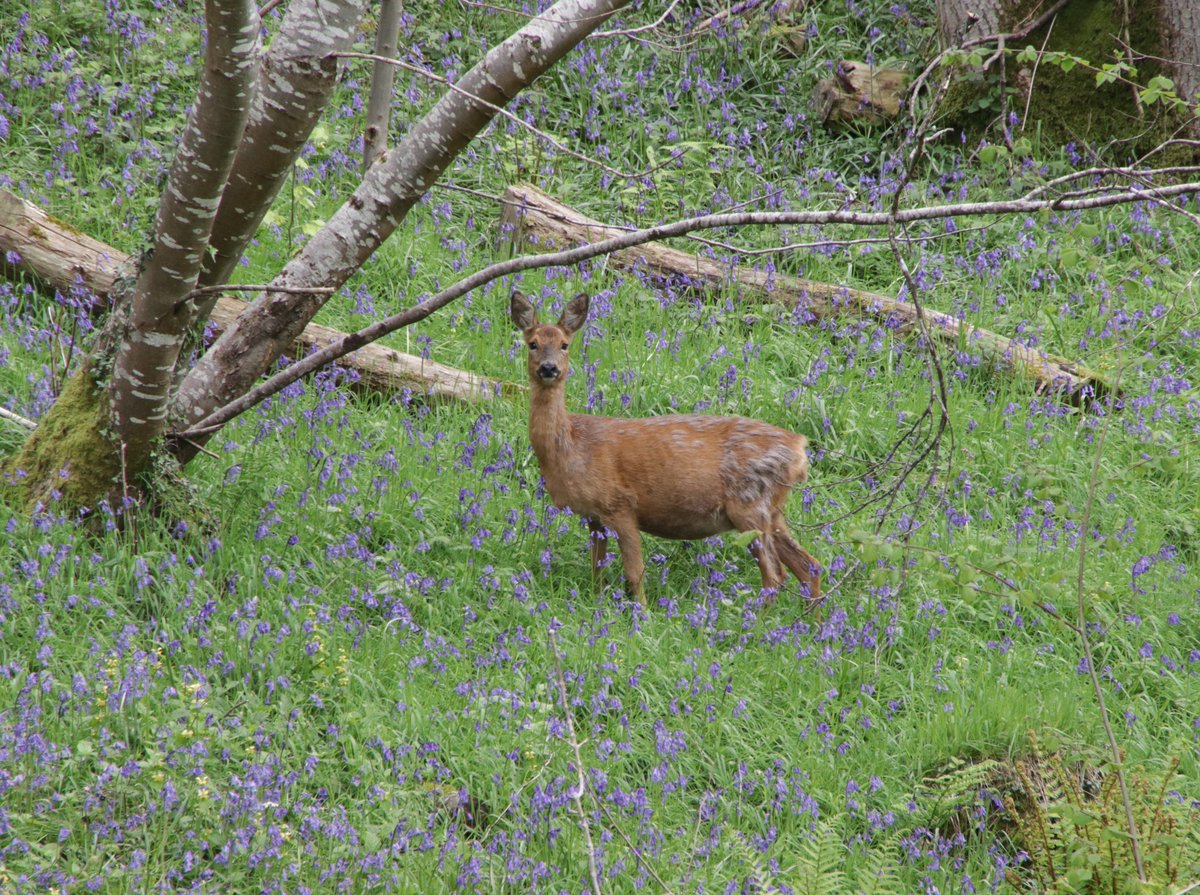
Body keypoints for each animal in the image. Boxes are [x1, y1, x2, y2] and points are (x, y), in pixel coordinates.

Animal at [511, 291, 820, 607]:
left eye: (564, 344)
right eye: (532, 343)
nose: (549, 368)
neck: (572, 447)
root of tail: (798, 447)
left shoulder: (620, 505)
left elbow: (635, 572)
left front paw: (642, 613)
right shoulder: (593, 516)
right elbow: (597, 567)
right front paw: (598, 603)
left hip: (749, 504)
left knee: (776, 575)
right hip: (772, 509)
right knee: (809, 565)